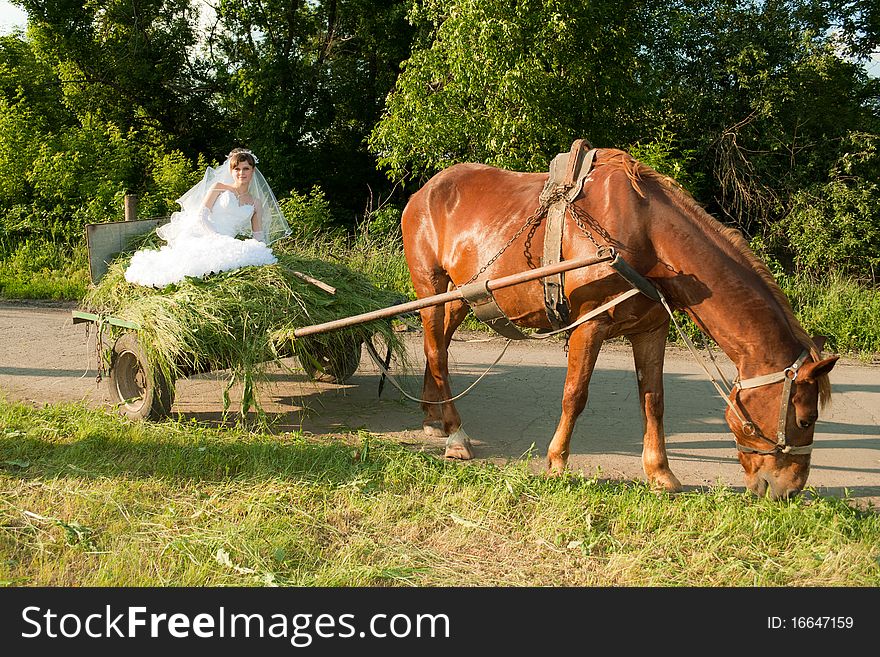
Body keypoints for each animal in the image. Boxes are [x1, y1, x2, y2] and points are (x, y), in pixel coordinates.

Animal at [398, 147, 840, 498]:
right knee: (436, 348)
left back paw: (433, 416)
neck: (646, 235)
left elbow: (654, 400)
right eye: (806, 419)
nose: (788, 490)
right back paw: (456, 433)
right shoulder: (589, 325)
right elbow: (575, 394)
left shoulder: (651, 330)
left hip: (465, 293)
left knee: (437, 344)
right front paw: (556, 462)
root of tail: (425, 191)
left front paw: (660, 472)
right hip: (430, 283)